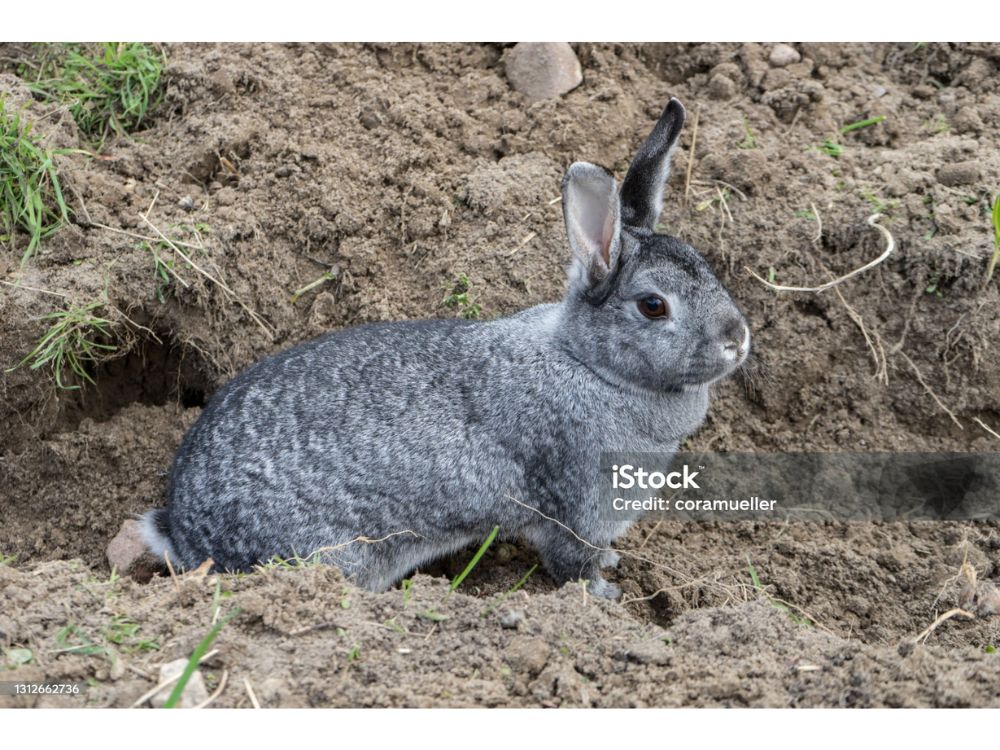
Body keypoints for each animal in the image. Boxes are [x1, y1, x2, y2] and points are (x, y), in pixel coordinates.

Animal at [141, 100, 752, 604]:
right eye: (653, 306)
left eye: (705, 265)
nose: (737, 339)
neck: (590, 363)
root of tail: (184, 532)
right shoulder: (575, 506)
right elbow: (572, 564)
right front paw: (607, 595)